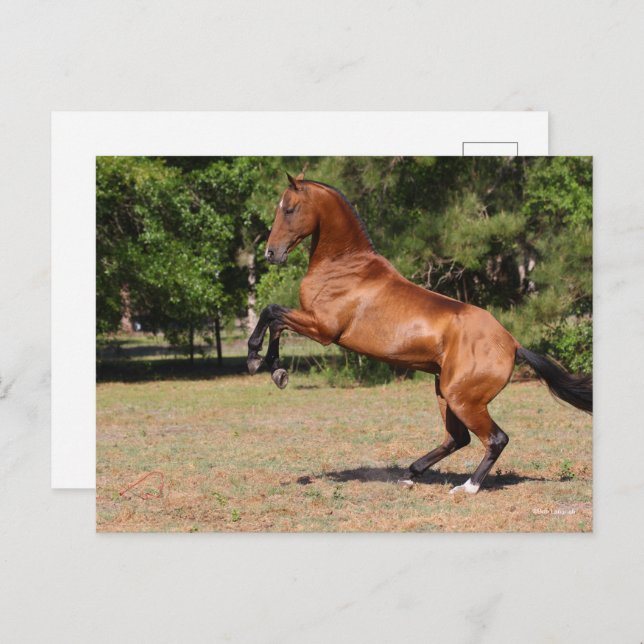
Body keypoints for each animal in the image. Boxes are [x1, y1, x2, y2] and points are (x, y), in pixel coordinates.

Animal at [247, 173, 592, 494]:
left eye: (289, 209)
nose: (271, 254)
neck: (344, 267)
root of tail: (513, 344)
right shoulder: (312, 323)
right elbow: (274, 319)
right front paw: (274, 368)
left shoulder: (322, 329)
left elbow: (271, 312)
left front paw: (258, 361)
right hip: (445, 393)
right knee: (457, 439)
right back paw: (409, 474)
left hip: (462, 399)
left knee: (495, 438)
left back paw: (467, 487)